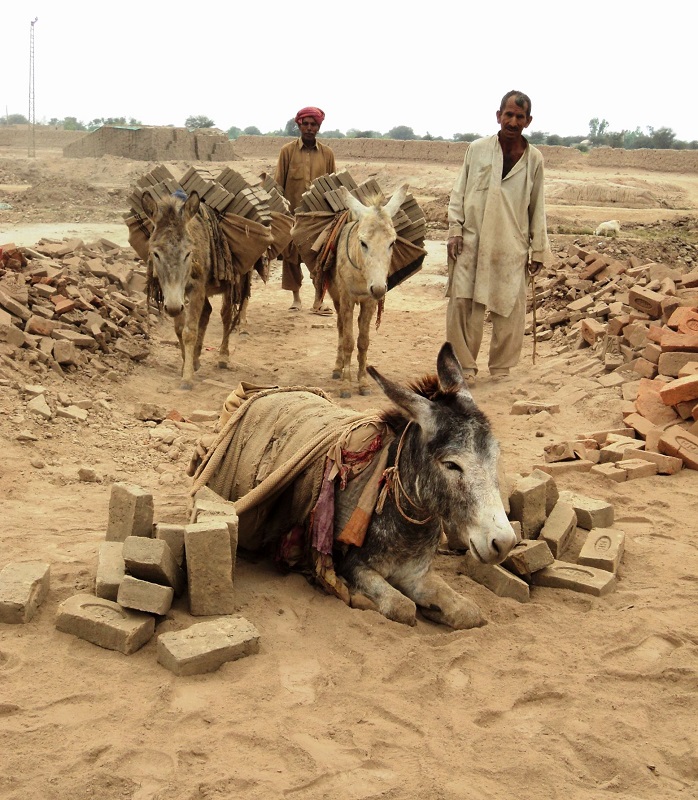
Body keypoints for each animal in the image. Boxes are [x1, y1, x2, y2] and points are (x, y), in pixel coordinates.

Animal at [141, 190, 249, 390]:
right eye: (156, 253)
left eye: (188, 253)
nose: (173, 307)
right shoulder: (175, 295)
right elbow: (179, 329)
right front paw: (186, 364)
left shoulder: (196, 288)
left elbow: (189, 331)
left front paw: (187, 379)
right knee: (207, 312)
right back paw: (197, 359)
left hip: (231, 282)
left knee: (226, 315)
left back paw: (223, 357)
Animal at [327, 184, 408, 398]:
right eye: (363, 243)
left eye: (392, 243)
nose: (379, 288)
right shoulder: (346, 299)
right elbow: (348, 340)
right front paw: (346, 385)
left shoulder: (369, 302)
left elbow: (363, 341)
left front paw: (362, 382)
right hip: (336, 297)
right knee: (340, 327)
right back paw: (338, 368)